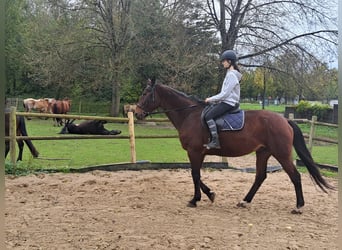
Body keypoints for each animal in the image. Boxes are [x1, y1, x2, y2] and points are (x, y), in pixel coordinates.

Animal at [136, 79, 334, 214]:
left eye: (145, 93)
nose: (136, 113)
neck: (189, 115)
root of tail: (284, 120)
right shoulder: (199, 153)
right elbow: (196, 175)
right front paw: (210, 194)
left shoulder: (195, 152)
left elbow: (195, 175)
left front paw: (195, 199)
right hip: (263, 152)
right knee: (260, 177)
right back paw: (245, 201)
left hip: (282, 154)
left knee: (295, 176)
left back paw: (298, 206)